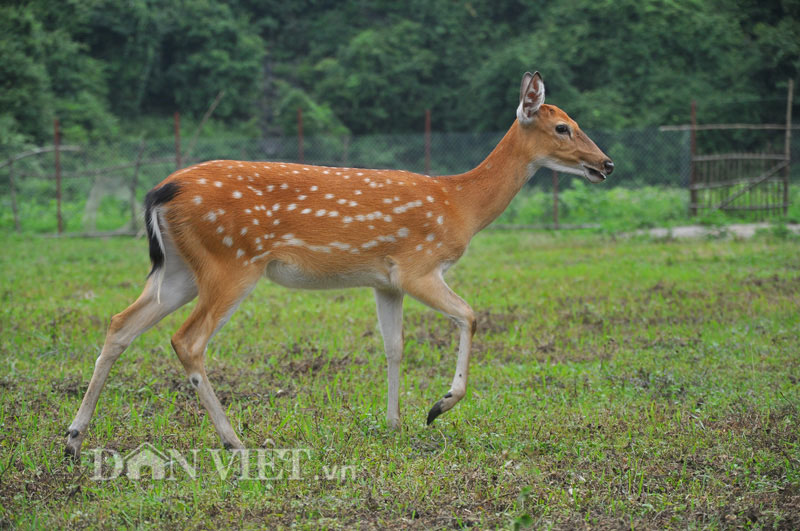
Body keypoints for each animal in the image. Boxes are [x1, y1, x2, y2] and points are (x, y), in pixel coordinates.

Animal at [64, 72, 612, 460]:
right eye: (562, 126)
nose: (605, 164)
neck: (460, 205)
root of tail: (162, 191)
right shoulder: (418, 266)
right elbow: (469, 315)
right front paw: (438, 407)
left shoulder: (385, 281)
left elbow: (394, 346)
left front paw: (394, 424)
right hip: (231, 261)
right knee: (187, 340)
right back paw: (234, 442)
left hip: (177, 269)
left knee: (120, 324)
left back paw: (73, 438)